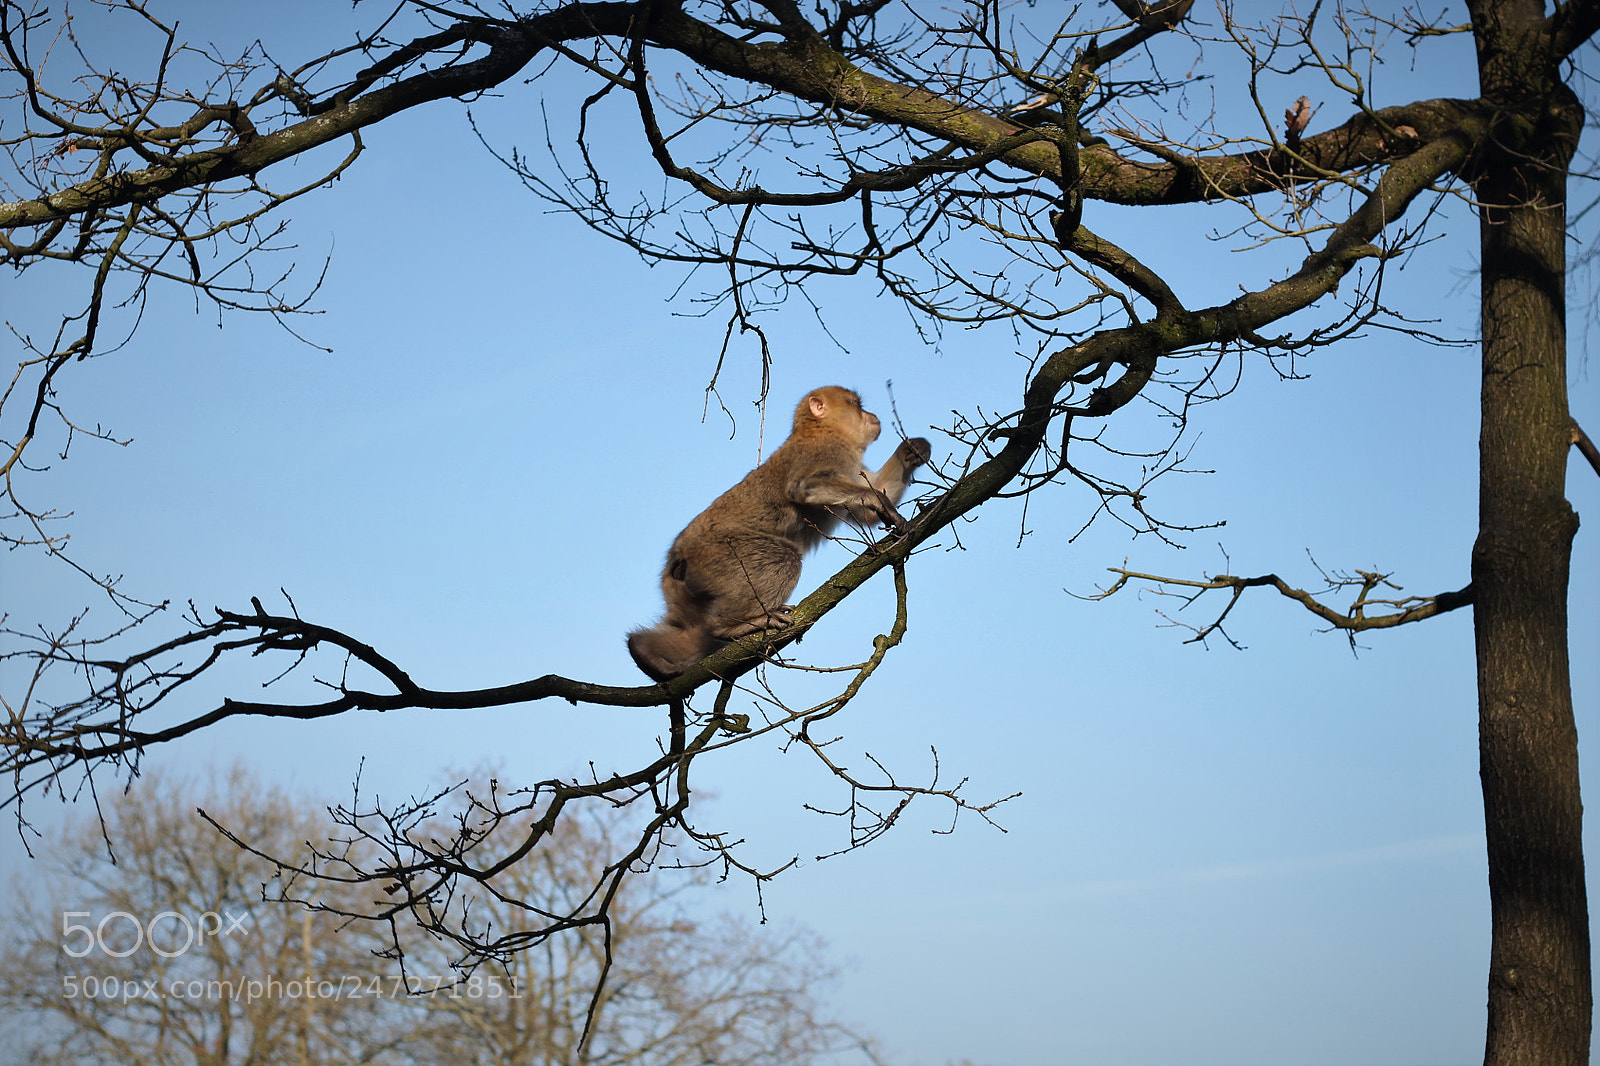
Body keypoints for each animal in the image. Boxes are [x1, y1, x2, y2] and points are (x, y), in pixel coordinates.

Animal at [628, 386, 931, 683]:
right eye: (857, 405)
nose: (872, 416)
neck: (823, 430)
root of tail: (675, 558)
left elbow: (865, 512)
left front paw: (911, 452)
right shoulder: (828, 451)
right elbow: (804, 487)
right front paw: (880, 502)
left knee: (694, 636)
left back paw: (645, 652)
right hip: (717, 553)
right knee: (783, 558)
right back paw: (730, 627)